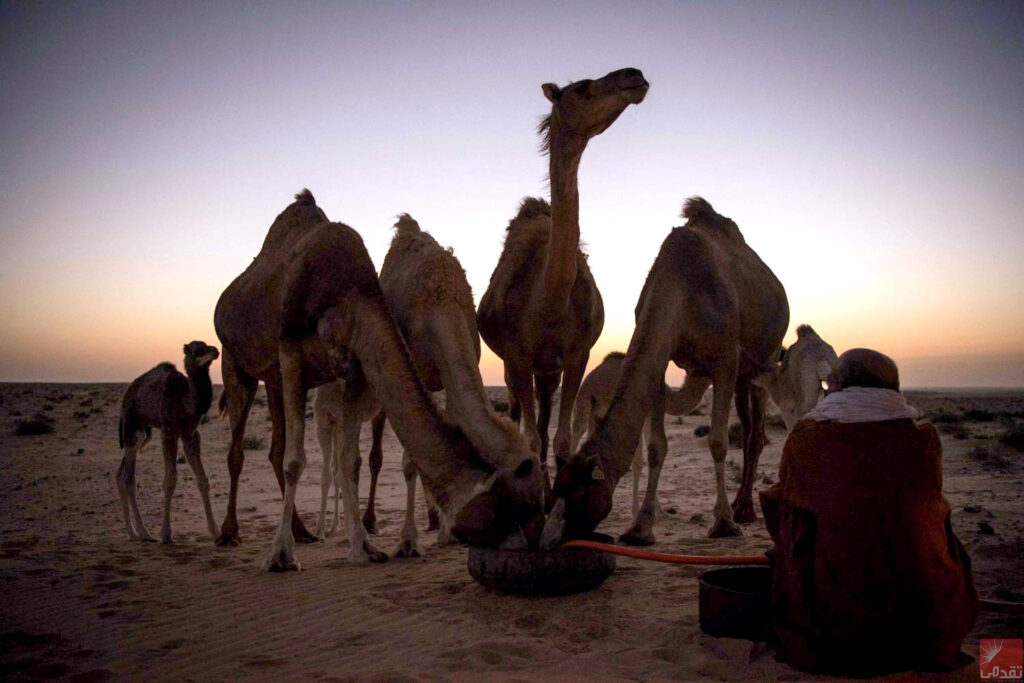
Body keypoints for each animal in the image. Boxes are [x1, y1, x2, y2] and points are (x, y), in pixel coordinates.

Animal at [115, 342, 220, 544]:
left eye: (206, 345)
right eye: (197, 349)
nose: (215, 350)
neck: (186, 399)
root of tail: (127, 394)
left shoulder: (190, 433)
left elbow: (203, 479)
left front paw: (216, 532)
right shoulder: (169, 430)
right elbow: (170, 480)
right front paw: (166, 534)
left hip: (145, 434)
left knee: (120, 473)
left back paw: (132, 532)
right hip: (133, 426)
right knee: (129, 478)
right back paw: (144, 533)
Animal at [214, 191, 544, 573]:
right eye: (514, 507)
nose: (532, 541)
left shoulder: (360, 364)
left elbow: (352, 460)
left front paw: (366, 546)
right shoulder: (292, 351)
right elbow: (297, 461)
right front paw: (281, 555)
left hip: (274, 379)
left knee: (277, 447)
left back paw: (304, 531)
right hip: (236, 362)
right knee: (240, 449)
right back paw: (230, 533)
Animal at [473, 66, 647, 479]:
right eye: (582, 87)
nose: (633, 75)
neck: (547, 303)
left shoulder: (577, 354)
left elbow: (562, 441)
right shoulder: (518, 357)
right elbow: (532, 441)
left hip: (548, 372)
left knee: (543, 419)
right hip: (516, 367)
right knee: (523, 421)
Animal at [544, 194, 790, 548]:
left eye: (580, 496)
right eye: (552, 494)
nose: (549, 541)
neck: (682, 287)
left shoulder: (725, 359)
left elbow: (718, 441)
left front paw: (723, 522)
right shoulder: (661, 363)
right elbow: (655, 447)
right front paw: (641, 527)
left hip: (764, 356)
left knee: (754, 433)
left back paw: (743, 510)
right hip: (742, 375)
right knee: (746, 426)